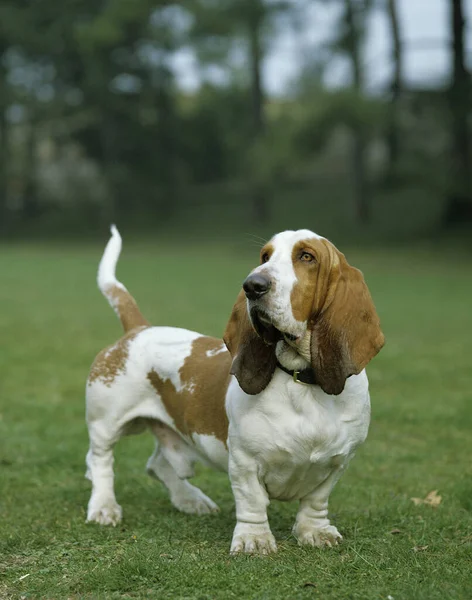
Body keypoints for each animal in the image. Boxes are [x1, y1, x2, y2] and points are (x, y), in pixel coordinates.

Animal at [85, 225, 384, 552]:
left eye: (307, 256)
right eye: (265, 256)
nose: (253, 285)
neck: (300, 378)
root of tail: (140, 329)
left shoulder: (338, 461)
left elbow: (316, 501)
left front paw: (315, 532)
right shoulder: (244, 461)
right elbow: (252, 501)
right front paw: (254, 540)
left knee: (159, 465)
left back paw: (191, 501)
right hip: (107, 422)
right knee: (99, 461)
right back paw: (104, 508)